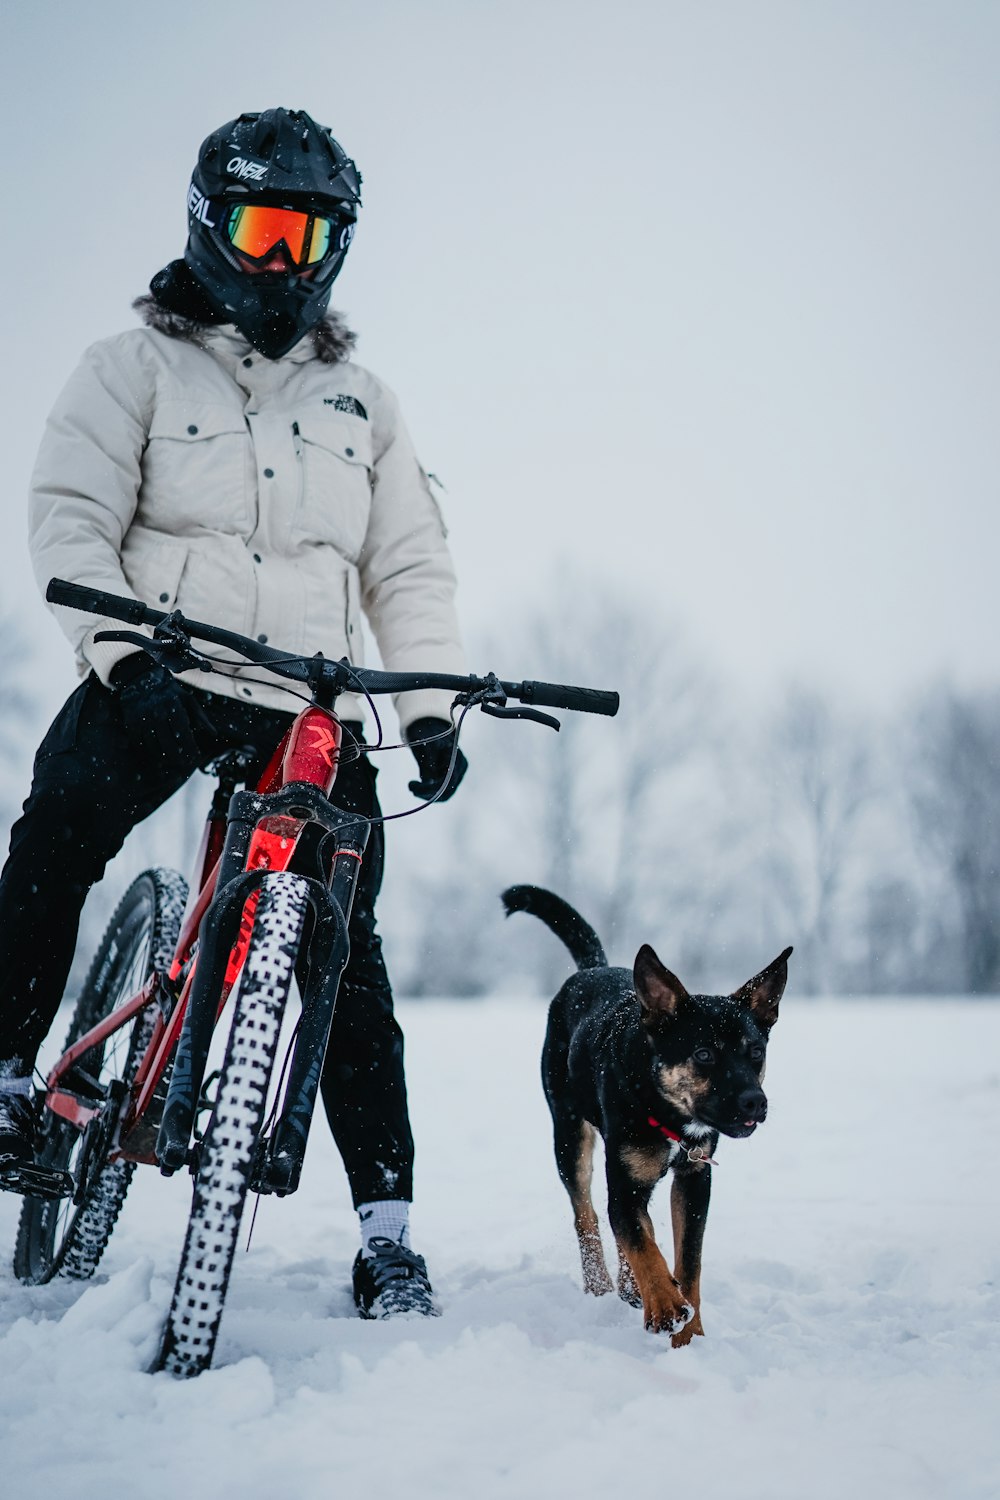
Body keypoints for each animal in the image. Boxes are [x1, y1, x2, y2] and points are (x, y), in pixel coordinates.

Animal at [500, 882, 791, 1344]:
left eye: (756, 1053)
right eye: (704, 1054)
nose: (754, 1102)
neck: (666, 1112)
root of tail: (594, 969)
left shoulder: (695, 1179)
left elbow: (688, 1259)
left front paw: (690, 1335)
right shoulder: (623, 1181)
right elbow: (638, 1239)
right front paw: (666, 1307)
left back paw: (630, 1286)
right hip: (569, 1134)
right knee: (587, 1215)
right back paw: (602, 1285)